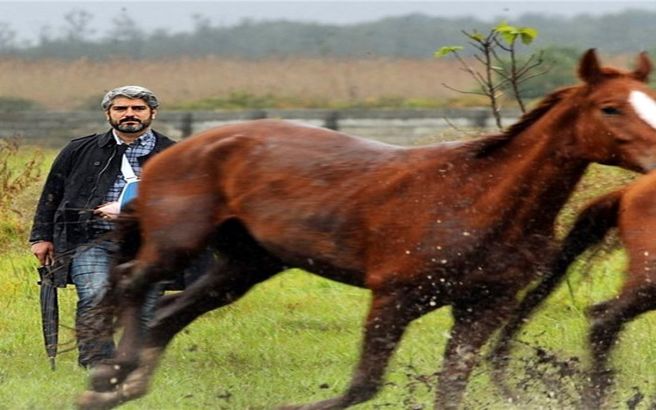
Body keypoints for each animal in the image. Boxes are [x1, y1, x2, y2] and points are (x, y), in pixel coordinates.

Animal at [77, 51, 656, 410]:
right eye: (609, 108)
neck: (478, 196)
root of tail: (168, 154)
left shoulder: (484, 305)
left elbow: (450, 387)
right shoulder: (394, 298)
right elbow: (363, 384)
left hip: (246, 264)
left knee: (172, 312)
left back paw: (123, 384)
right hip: (178, 243)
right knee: (132, 281)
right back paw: (109, 373)